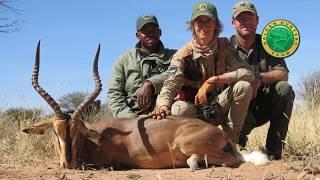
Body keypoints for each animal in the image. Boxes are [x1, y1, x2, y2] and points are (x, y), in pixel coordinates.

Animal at [23, 41, 268, 170]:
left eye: (76, 131)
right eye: (56, 131)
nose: (68, 163)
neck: (98, 138)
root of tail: (222, 135)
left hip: (188, 145)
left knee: (230, 160)